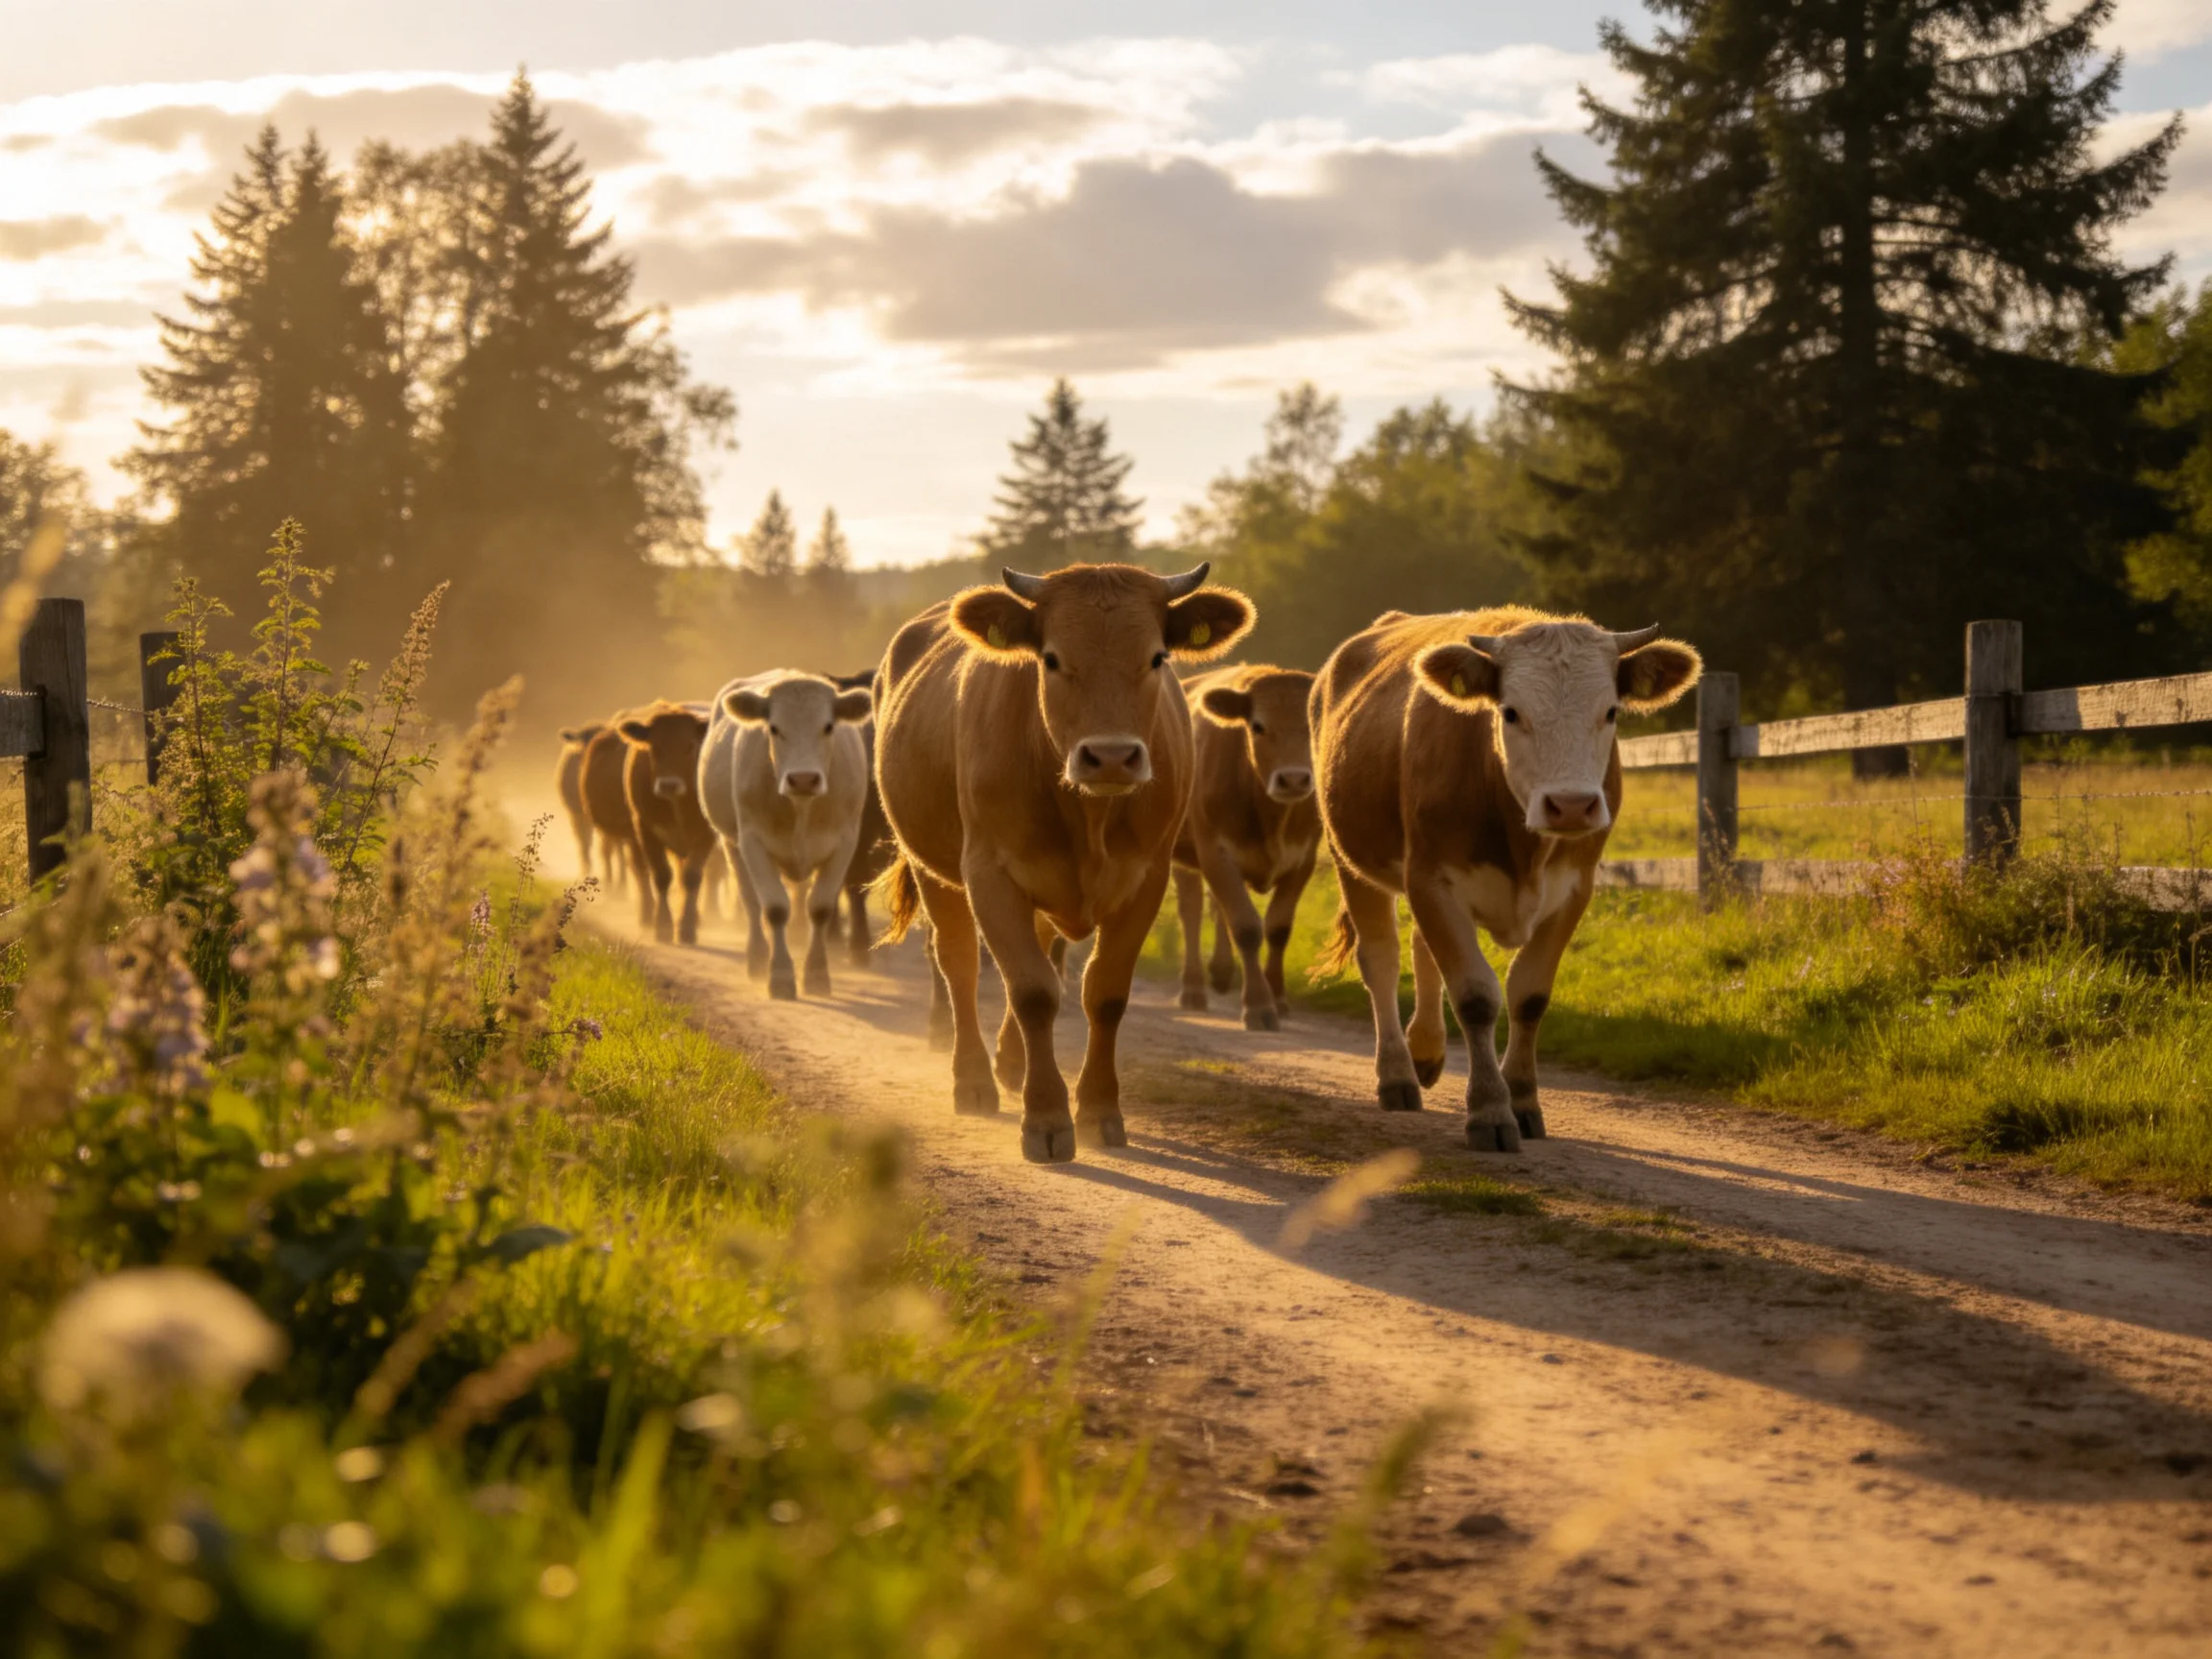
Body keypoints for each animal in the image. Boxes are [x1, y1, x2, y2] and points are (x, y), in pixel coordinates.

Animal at [618, 701, 718, 945]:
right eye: (654, 748)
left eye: (690, 746)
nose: (668, 785)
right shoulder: (645, 828)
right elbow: (662, 875)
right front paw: (662, 925)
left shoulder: (705, 834)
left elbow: (692, 877)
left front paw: (687, 928)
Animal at [698, 671, 874, 999]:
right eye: (774, 728)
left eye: (828, 726)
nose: (803, 779)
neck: (801, 809)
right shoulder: (752, 842)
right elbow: (775, 908)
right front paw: (779, 975)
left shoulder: (845, 843)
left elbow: (820, 908)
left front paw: (817, 974)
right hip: (732, 845)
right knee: (750, 901)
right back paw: (757, 959)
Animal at [875, 561, 1253, 1163]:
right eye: (1051, 658)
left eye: (1157, 657)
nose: (1112, 756)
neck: (1088, 815)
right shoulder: (990, 873)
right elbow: (1031, 992)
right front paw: (1047, 1118)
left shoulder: (1147, 879)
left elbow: (1104, 993)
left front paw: (1099, 1111)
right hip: (932, 866)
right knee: (959, 963)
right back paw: (975, 1080)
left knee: (1040, 952)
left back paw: (1010, 1064)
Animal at [1171, 665, 1320, 1031]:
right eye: (1258, 726)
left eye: (1313, 723)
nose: (1294, 779)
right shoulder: (1216, 853)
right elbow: (1246, 927)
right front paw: (1259, 1005)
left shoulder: (1303, 859)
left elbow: (1278, 929)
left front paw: (1278, 998)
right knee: (1191, 911)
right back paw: (1194, 988)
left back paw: (1221, 972)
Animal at [1311, 606, 1700, 1151]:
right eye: (1511, 713)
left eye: (1610, 712)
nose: (1572, 805)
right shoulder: (1432, 880)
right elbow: (1475, 996)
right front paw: (1490, 1110)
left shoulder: (1573, 889)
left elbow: (1529, 996)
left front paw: (1524, 1101)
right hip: (1349, 858)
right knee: (1382, 961)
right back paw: (1397, 1074)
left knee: (1421, 948)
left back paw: (1426, 1050)